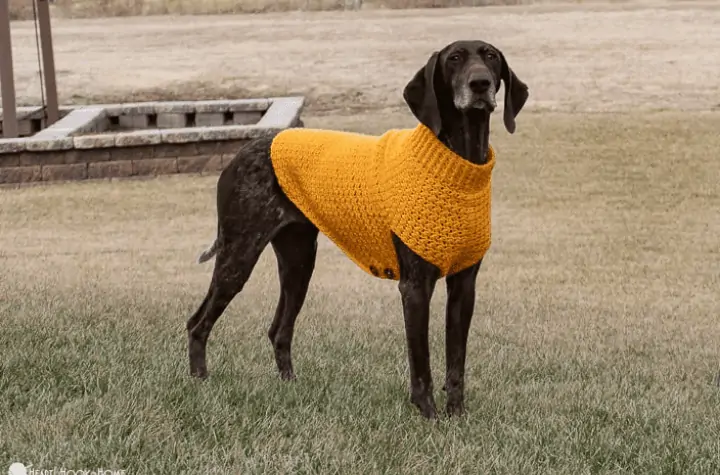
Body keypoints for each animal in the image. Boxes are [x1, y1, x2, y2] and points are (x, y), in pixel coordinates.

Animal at [187, 41, 528, 420]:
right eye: (454, 58)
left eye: (490, 56)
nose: (480, 84)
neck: (458, 161)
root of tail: (239, 154)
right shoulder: (414, 288)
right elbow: (421, 364)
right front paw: (428, 415)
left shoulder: (464, 287)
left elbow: (456, 362)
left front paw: (457, 414)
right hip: (238, 257)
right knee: (198, 323)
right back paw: (200, 381)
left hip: (298, 264)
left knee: (279, 330)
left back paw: (290, 386)